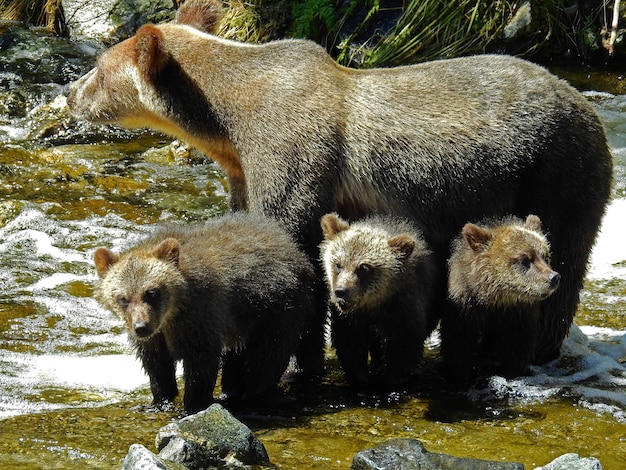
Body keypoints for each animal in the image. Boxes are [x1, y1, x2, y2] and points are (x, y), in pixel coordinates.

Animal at [94, 211, 316, 414]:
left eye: (151, 292)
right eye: (123, 298)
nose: (141, 327)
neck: (171, 315)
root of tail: (293, 247)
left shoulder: (200, 319)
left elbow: (201, 364)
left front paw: (193, 405)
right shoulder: (156, 338)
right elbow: (157, 365)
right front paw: (158, 402)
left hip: (275, 310)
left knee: (266, 358)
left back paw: (250, 396)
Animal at [320, 215, 436, 388]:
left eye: (364, 268)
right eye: (338, 264)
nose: (341, 291)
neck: (374, 304)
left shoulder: (403, 307)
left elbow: (403, 345)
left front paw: (395, 378)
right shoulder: (350, 319)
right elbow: (350, 345)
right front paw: (360, 377)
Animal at [438, 215, 560, 380]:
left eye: (545, 256)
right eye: (525, 259)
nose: (553, 277)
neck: (497, 298)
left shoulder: (520, 313)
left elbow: (518, 344)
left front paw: (514, 369)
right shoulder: (466, 305)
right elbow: (459, 341)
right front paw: (460, 371)